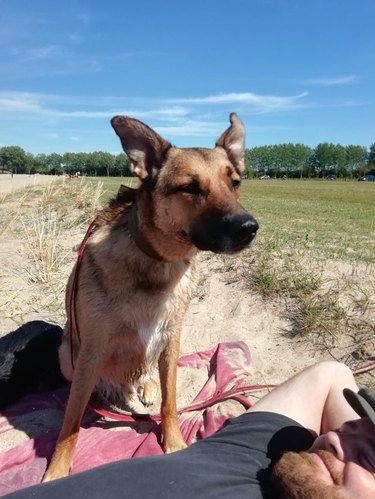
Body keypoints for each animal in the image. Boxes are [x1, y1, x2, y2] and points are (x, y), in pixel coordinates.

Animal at [40, 112, 258, 480]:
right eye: (190, 188)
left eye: (235, 183)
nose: (249, 227)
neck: (158, 262)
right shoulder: (91, 351)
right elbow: (70, 424)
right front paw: (55, 471)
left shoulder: (170, 340)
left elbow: (171, 402)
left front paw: (173, 443)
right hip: (67, 355)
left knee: (146, 377)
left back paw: (146, 386)